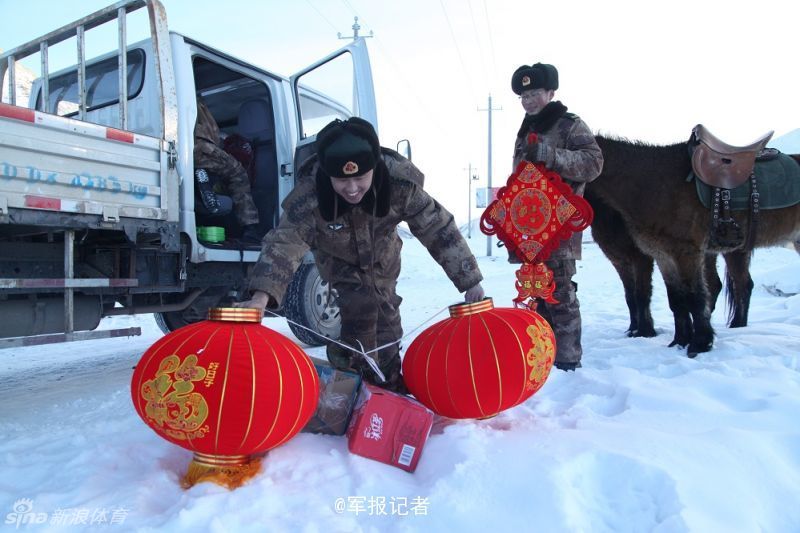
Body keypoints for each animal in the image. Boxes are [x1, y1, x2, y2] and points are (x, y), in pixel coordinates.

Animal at [584, 135, 796, 356]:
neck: (655, 184)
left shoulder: (677, 254)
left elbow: (685, 296)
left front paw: (697, 343)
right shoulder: (655, 256)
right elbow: (671, 298)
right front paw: (678, 340)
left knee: (738, 286)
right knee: (737, 285)